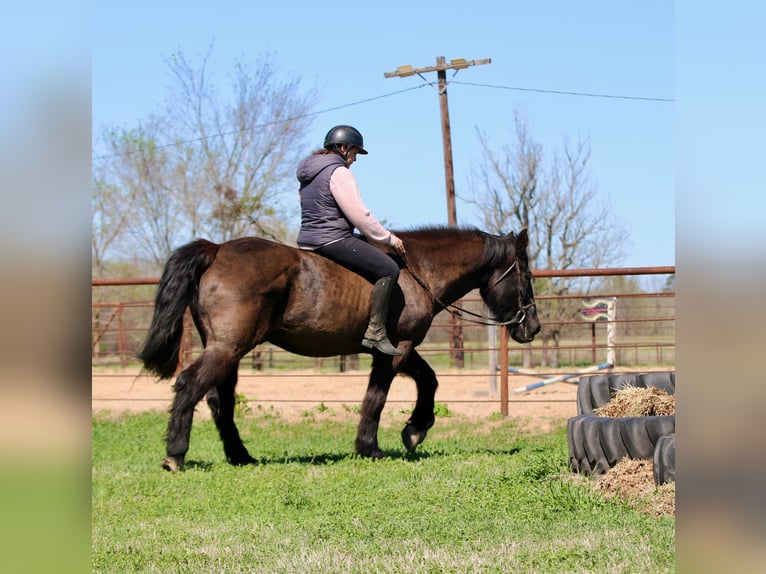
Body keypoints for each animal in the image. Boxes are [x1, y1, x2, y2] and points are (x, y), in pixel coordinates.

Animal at [138, 226, 541, 472]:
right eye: (526, 276)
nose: (533, 327)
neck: (417, 272)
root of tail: (217, 250)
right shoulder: (396, 349)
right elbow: (378, 397)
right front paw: (372, 446)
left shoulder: (398, 349)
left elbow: (429, 381)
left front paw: (414, 430)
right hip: (228, 347)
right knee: (189, 385)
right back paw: (175, 454)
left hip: (230, 352)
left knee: (220, 402)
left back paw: (240, 456)